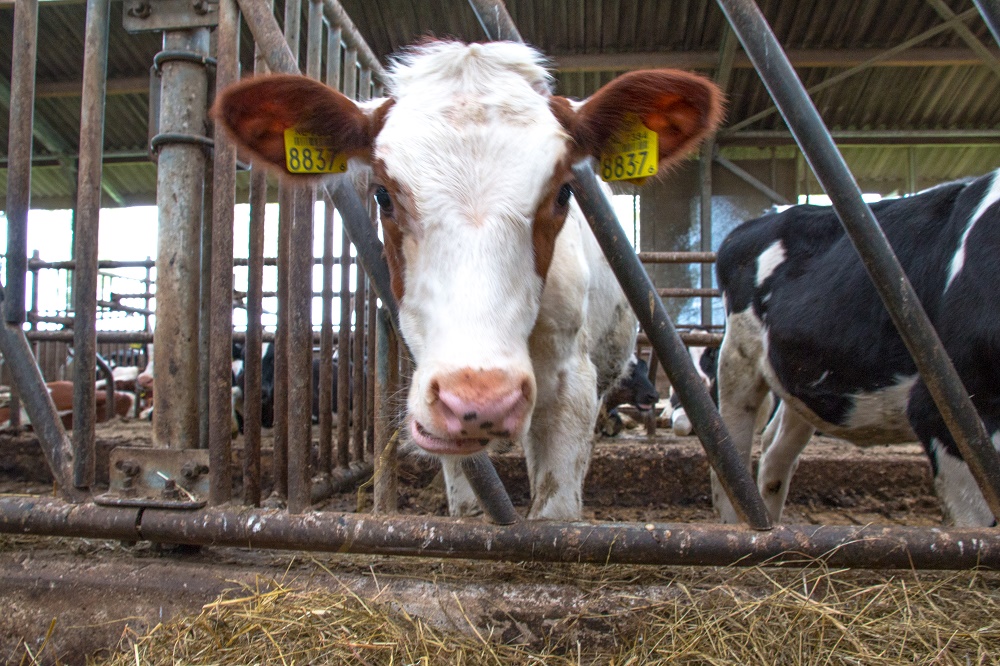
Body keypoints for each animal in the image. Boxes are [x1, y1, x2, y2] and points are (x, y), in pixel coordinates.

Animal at [215, 40, 724, 520]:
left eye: (563, 192)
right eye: (382, 195)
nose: (483, 399)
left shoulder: (572, 383)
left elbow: (555, 511)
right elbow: (466, 505)